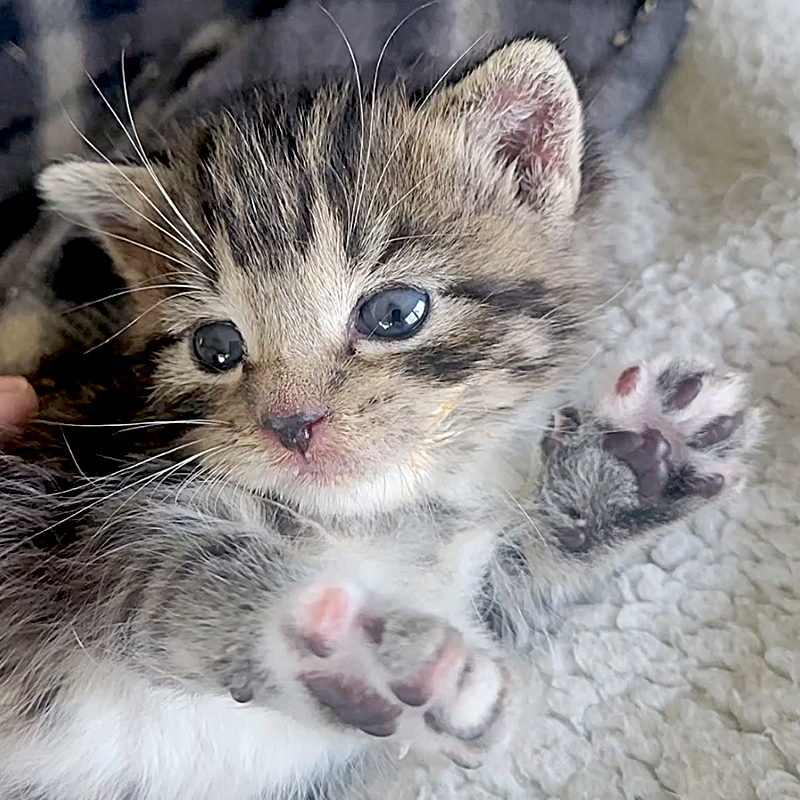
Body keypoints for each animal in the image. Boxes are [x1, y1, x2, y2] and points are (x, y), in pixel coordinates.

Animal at [0, 1, 764, 800]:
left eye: (394, 312)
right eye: (215, 346)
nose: (291, 423)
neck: (375, 516)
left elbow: (517, 577)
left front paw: (634, 465)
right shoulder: (88, 523)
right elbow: (178, 575)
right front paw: (359, 653)